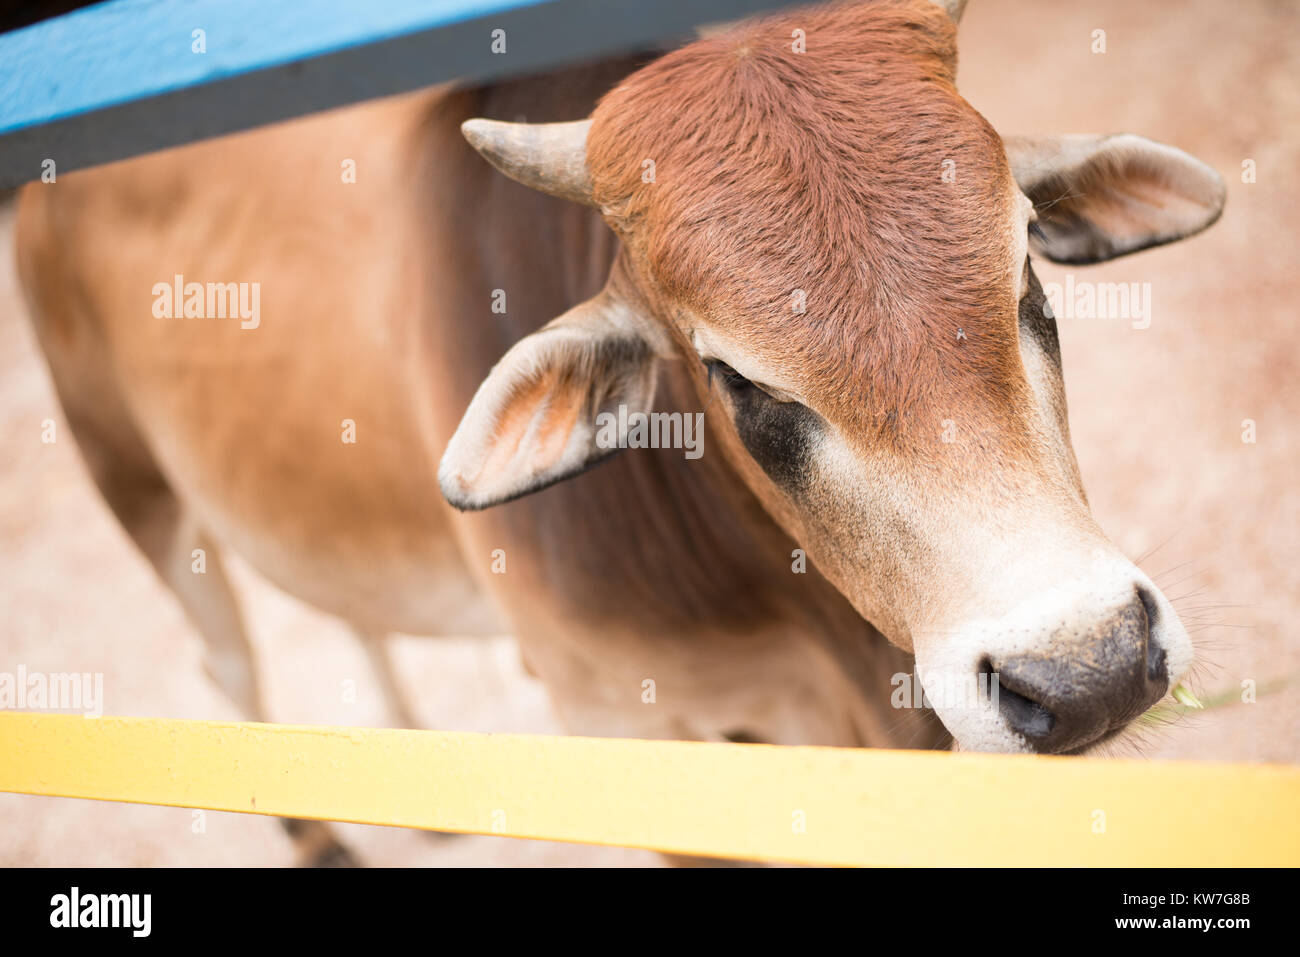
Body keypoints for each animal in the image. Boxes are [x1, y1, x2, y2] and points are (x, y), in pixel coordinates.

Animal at [15, 1, 1222, 858]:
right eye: (733, 376)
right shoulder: (635, 736)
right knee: (223, 660)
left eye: (1025, 273)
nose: (1090, 667)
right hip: (134, 484)